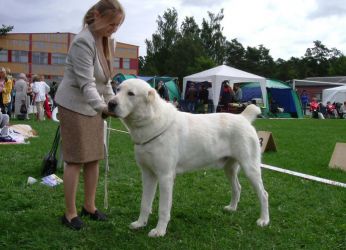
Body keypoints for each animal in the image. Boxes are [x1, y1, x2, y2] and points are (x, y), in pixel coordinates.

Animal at [109, 78, 270, 236]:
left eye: (131, 94)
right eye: (118, 90)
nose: (110, 103)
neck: (150, 121)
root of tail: (243, 117)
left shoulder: (165, 176)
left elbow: (163, 208)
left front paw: (159, 231)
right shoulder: (148, 175)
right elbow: (145, 203)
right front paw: (140, 223)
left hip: (250, 169)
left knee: (264, 194)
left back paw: (264, 220)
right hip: (229, 169)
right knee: (237, 188)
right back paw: (232, 208)